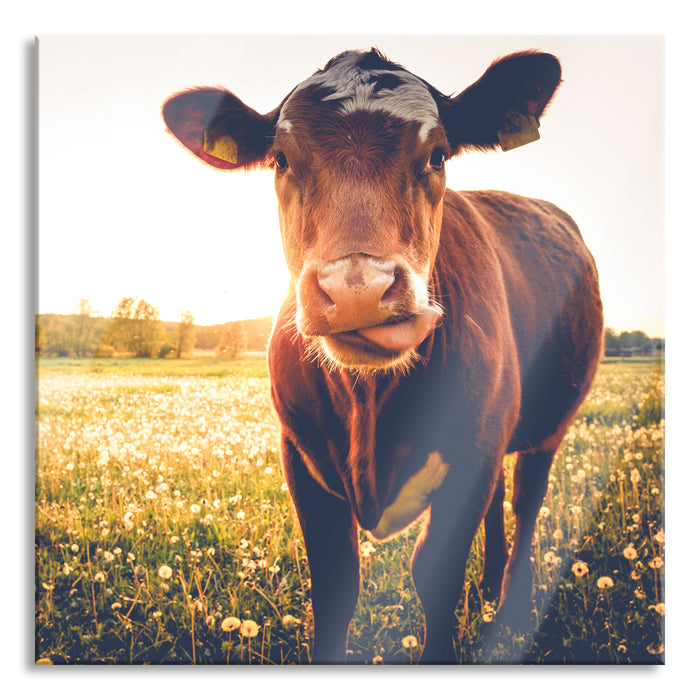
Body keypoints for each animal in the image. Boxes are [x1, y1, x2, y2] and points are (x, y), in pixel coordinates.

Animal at [163, 47, 600, 660]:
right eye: (280, 160)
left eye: (437, 154)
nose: (358, 289)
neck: (370, 404)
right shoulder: (299, 456)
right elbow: (336, 583)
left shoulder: (472, 454)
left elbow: (434, 574)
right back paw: (489, 587)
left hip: (547, 426)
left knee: (525, 501)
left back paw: (509, 603)